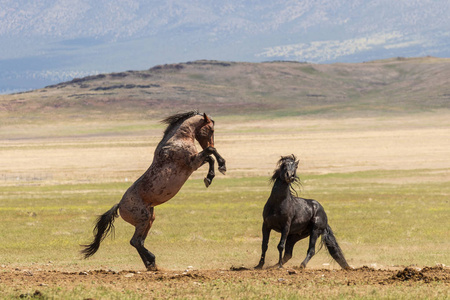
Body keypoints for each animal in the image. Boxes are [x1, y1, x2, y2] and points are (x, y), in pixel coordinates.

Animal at [81, 110, 225, 270]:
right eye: (211, 129)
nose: (211, 142)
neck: (177, 140)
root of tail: (119, 206)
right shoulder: (192, 162)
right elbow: (211, 153)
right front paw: (219, 169)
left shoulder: (196, 162)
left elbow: (210, 156)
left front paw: (212, 175)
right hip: (143, 219)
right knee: (135, 241)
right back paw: (152, 260)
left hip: (150, 218)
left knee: (138, 241)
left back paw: (151, 265)